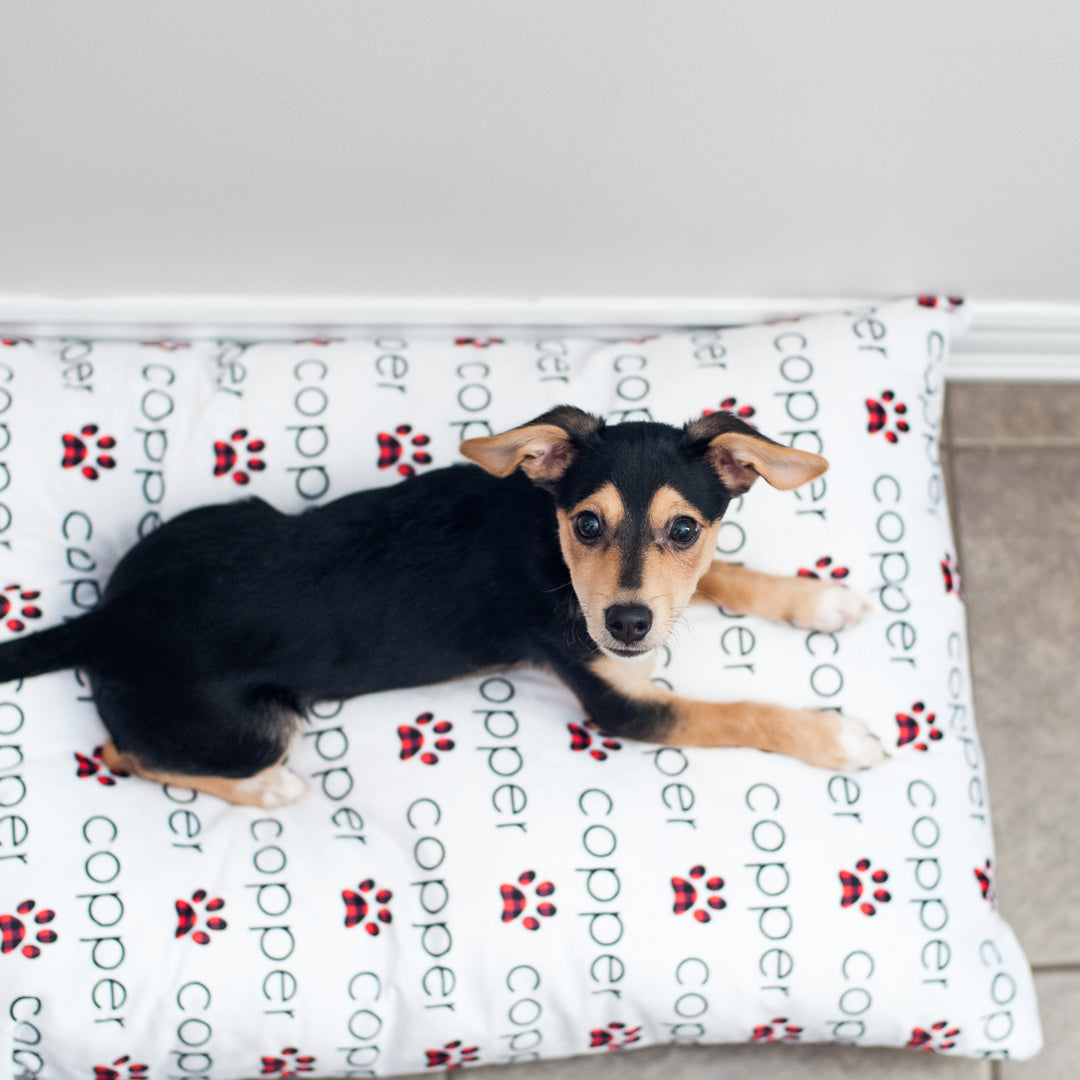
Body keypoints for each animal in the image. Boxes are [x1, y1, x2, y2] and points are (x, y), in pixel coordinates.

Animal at [0, 406, 885, 803]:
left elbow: (721, 575)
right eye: (586, 522)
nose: (627, 624)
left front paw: (816, 600)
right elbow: (737, 711)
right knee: (126, 753)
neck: (549, 545)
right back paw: (269, 791)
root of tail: (106, 618)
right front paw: (835, 736)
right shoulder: (621, 705)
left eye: (684, 528)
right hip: (245, 729)